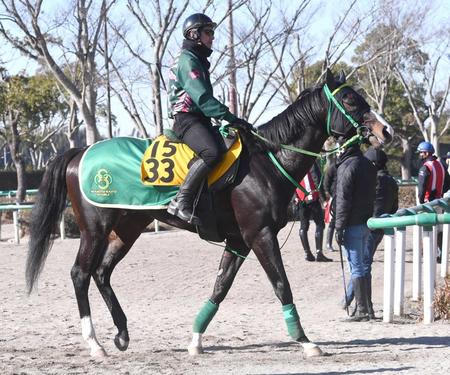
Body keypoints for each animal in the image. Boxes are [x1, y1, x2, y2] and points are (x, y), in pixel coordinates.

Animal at [24, 70, 392, 358]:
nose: (385, 130)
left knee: (101, 273)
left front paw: (195, 339)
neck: (266, 161)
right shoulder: (259, 235)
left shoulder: (238, 242)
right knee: (80, 274)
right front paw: (305, 341)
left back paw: (122, 333)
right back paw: (94, 343)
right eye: (350, 100)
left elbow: (220, 287)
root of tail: (79, 152)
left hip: (127, 229)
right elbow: (281, 285)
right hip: (95, 229)